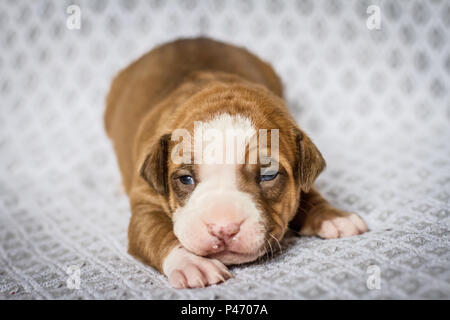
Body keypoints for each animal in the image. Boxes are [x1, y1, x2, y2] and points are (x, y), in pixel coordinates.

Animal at [103, 38, 368, 290]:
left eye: (268, 175)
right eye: (185, 179)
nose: (223, 229)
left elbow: (309, 193)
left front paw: (333, 216)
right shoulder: (145, 204)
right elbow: (157, 231)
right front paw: (191, 263)